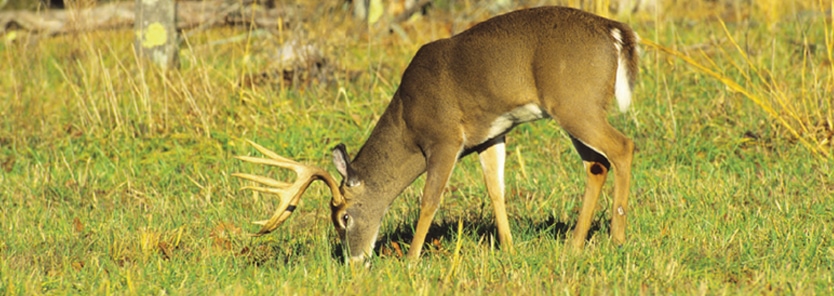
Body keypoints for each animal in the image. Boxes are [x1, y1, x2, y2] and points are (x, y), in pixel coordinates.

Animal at [232, 5, 636, 264]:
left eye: (344, 217)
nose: (354, 260)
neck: (407, 120)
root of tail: (617, 33)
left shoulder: (444, 138)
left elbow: (429, 200)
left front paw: (411, 260)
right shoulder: (490, 134)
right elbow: (496, 191)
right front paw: (508, 248)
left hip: (574, 103)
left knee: (622, 147)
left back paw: (617, 238)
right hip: (575, 109)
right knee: (596, 165)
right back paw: (574, 244)